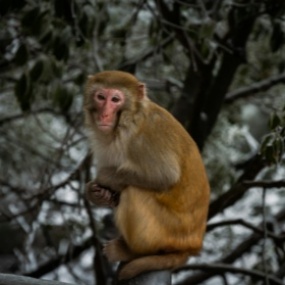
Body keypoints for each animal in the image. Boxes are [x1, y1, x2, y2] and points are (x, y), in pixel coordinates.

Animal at [83, 70, 210, 278]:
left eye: (115, 99)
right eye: (100, 97)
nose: (104, 114)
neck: (127, 120)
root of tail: (191, 246)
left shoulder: (145, 138)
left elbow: (165, 176)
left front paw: (104, 178)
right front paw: (95, 193)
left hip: (167, 233)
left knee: (134, 192)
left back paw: (132, 251)